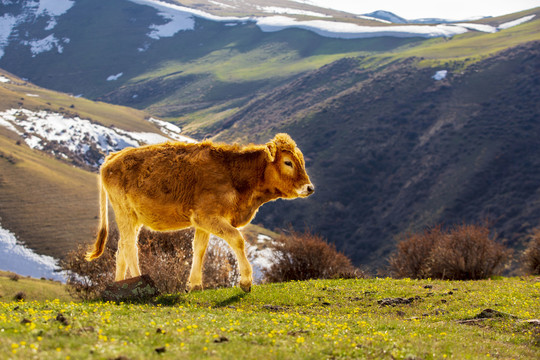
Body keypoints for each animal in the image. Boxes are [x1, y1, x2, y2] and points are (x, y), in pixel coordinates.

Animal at [84, 134, 312, 292]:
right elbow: (237, 239)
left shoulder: (204, 221)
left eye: (302, 161)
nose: (309, 188)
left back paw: (119, 284)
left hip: (133, 218)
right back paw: (141, 281)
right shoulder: (206, 216)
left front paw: (194, 284)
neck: (234, 174)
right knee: (130, 248)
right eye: (288, 162)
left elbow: (199, 249)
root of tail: (112, 158)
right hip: (125, 213)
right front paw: (246, 281)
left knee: (121, 249)